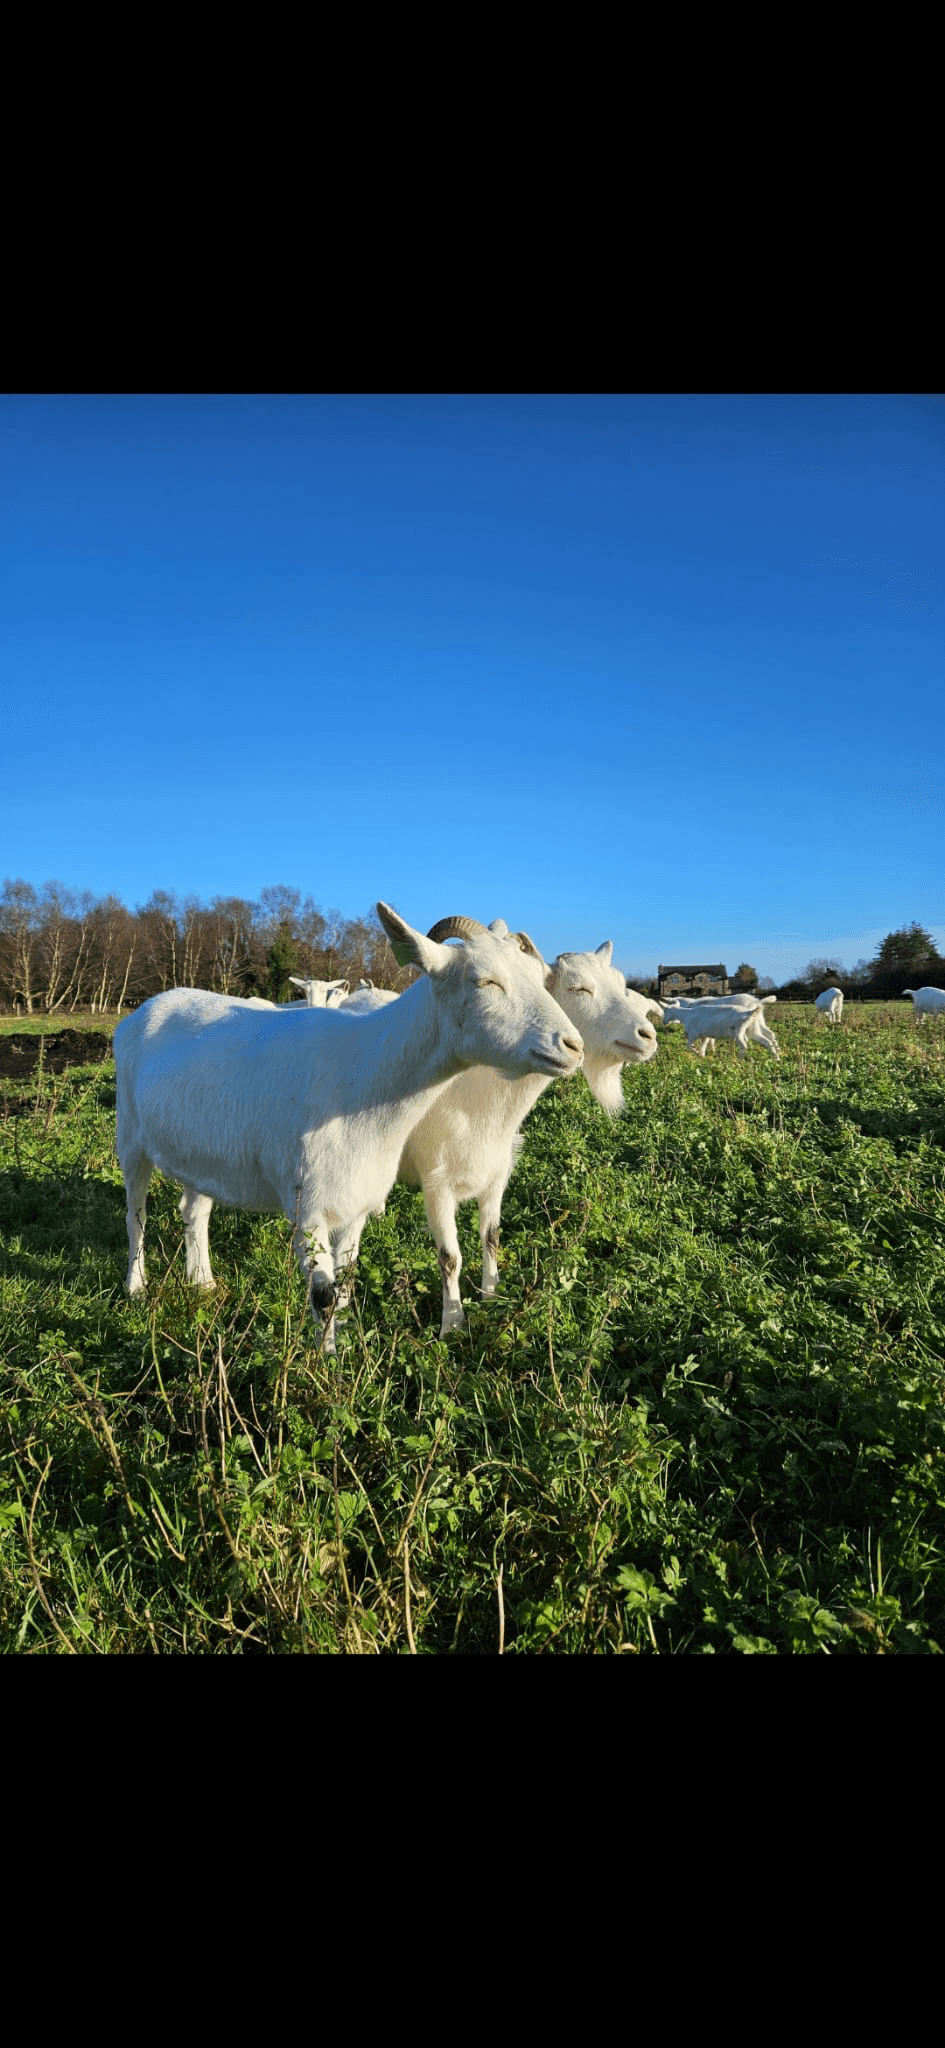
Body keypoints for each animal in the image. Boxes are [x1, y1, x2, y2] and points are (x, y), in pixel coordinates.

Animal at [113, 906, 584, 1353]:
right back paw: (136, 1287)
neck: (363, 1074)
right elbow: (322, 1296)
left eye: (538, 978)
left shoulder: (356, 1204)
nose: (572, 1046)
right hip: (130, 1137)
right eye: (484, 980)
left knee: (194, 1211)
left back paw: (203, 1283)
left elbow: (344, 1286)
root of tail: (145, 1010)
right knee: (136, 1215)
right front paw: (326, 1368)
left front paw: (342, 1347)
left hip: (205, 1152)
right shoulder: (307, 1208)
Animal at [335, 927, 661, 1335]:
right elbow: (449, 1256)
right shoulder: (437, 1182)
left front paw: (491, 1297)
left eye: (620, 983)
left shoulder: (497, 1172)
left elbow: (491, 1237)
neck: (479, 1098)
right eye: (578, 988)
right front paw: (453, 1325)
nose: (647, 1036)